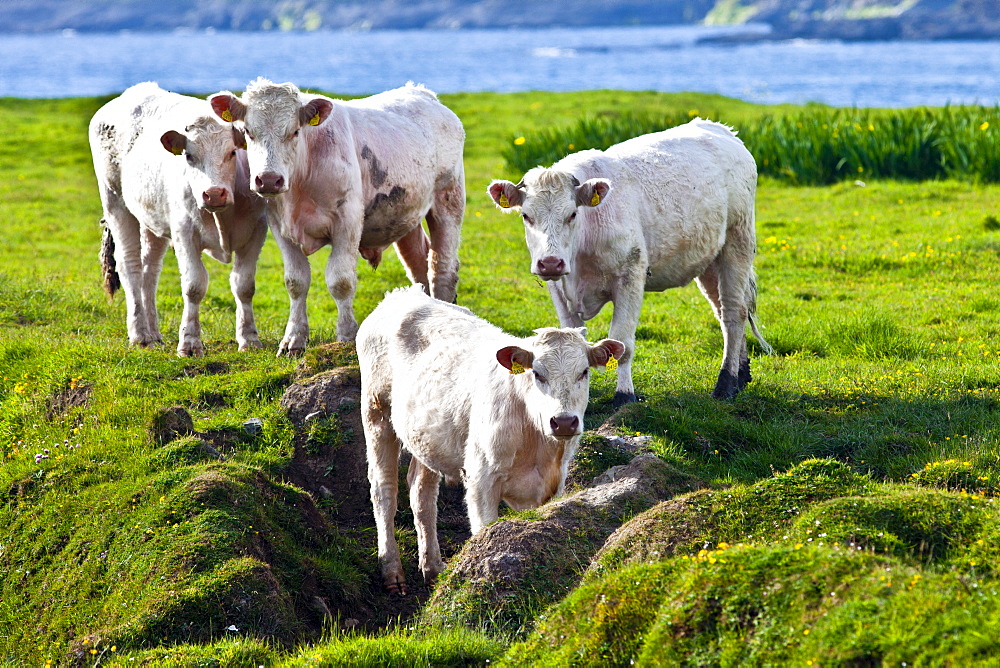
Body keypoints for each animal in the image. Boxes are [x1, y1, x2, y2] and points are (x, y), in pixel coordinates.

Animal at [90, 81, 268, 358]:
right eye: (188, 156)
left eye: (232, 152)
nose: (213, 193)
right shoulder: (184, 233)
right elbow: (194, 286)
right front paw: (190, 343)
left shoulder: (255, 232)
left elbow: (244, 285)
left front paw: (249, 339)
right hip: (115, 202)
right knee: (130, 265)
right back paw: (139, 335)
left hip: (152, 220)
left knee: (149, 269)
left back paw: (153, 334)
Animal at [209, 79, 466, 354]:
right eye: (248, 131)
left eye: (295, 132)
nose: (268, 179)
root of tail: (424, 93)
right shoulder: (281, 227)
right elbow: (296, 282)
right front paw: (293, 340)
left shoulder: (348, 223)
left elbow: (340, 281)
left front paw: (346, 336)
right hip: (404, 215)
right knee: (418, 264)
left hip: (448, 200)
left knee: (442, 267)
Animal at [360, 288, 620, 596]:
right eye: (537, 373)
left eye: (584, 372)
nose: (564, 421)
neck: (537, 446)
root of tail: (403, 294)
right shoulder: (481, 479)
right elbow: (484, 534)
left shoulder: (552, 486)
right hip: (376, 414)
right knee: (384, 490)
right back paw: (392, 571)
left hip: (426, 437)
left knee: (421, 494)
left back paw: (433, 567)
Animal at [488, 117, 768, 402]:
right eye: (526, 216)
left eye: (572, 214)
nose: (551, 262)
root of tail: (721, 129)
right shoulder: (559, 288)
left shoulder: (631, 277)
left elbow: (622, 344)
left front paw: (624, 396)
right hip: (710, 261)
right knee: (723, 310)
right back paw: (741, 374)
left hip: (737, 243)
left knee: (734, 312)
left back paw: (726, 382)